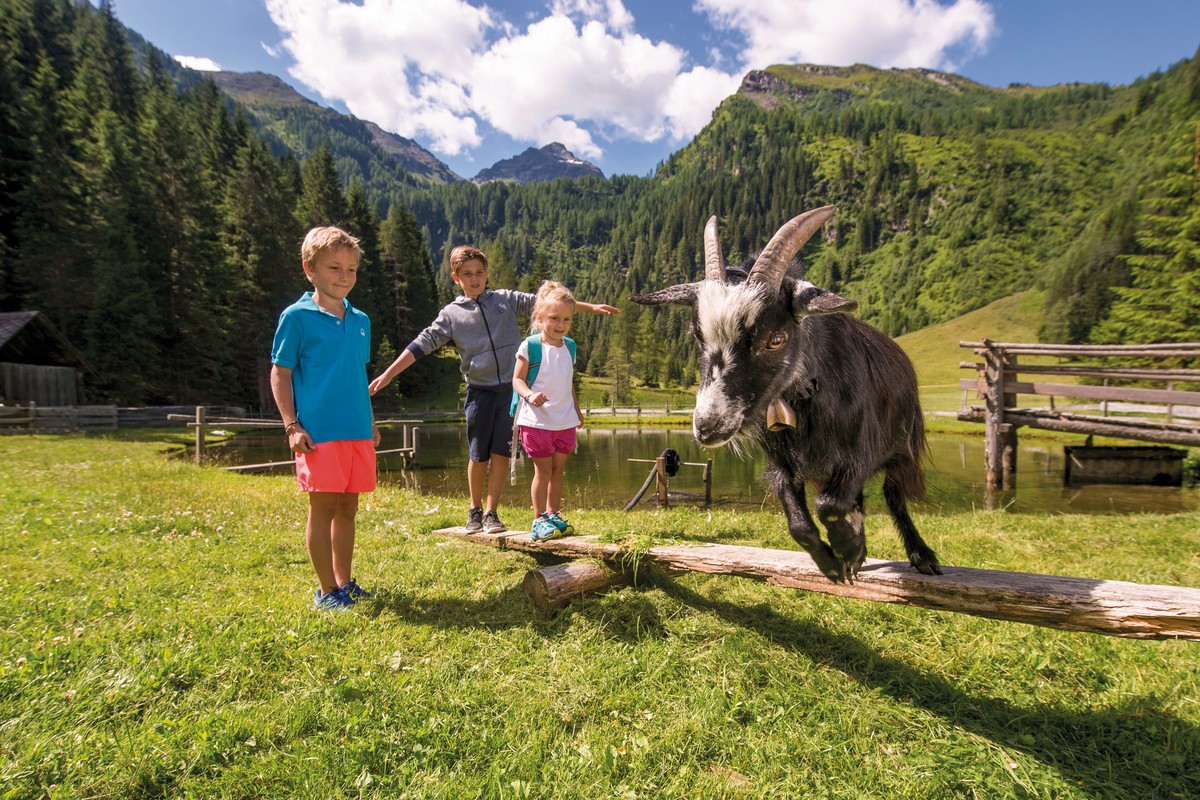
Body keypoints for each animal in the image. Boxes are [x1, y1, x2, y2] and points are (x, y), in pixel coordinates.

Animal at [624, 206, 940, 582]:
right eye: (696, 334)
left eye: (776, 339)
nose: (708, 425)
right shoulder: (781, 463)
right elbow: (800, 522)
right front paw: (835, 561)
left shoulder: (862, 450)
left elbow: (830, 505)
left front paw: (846, 548)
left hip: (903, 446)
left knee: (894, 497)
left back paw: (921, 556)